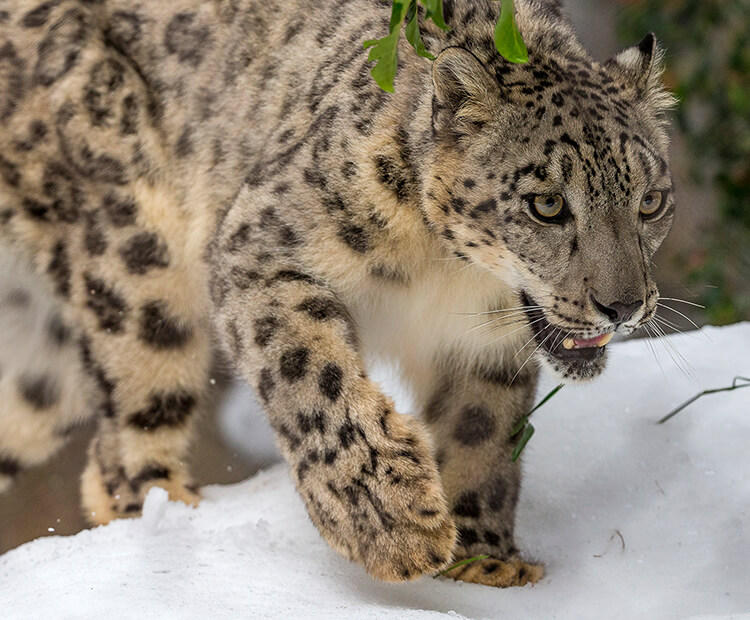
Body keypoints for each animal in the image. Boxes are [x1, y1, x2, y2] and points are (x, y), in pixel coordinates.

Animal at [0, 0, 676, 588]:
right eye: (547, 204)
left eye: (651, 201)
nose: (624, 306)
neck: (448, 277)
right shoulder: (261, 249)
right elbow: (315, 381)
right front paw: (394, 526)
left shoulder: (483, 345)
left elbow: (482, 434)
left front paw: (484, 562)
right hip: (140, 266)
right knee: (128, 438)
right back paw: (177, 530)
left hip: (45, 370)